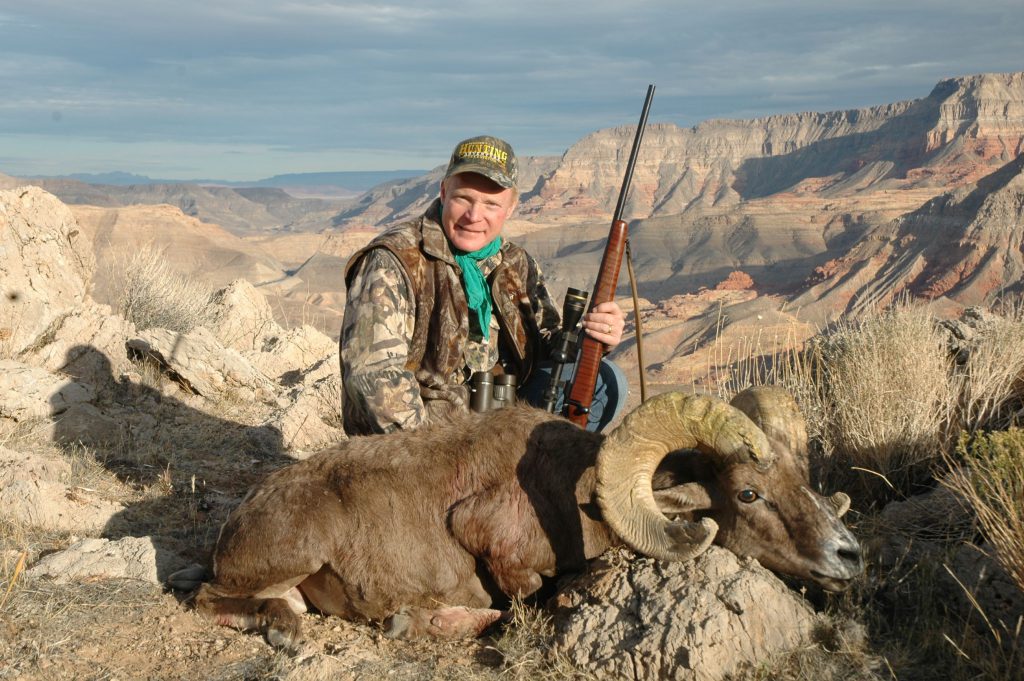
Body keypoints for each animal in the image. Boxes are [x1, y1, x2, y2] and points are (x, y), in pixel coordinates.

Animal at [182, 385, 856, 647]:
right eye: (748, 494)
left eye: (801, 478)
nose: (847, 555)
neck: (575, 496)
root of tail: (242, 517)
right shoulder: (493, 545)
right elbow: (524, 601)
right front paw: (425, 621)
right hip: (286, 557)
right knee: (209, 598)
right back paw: (282, 630)